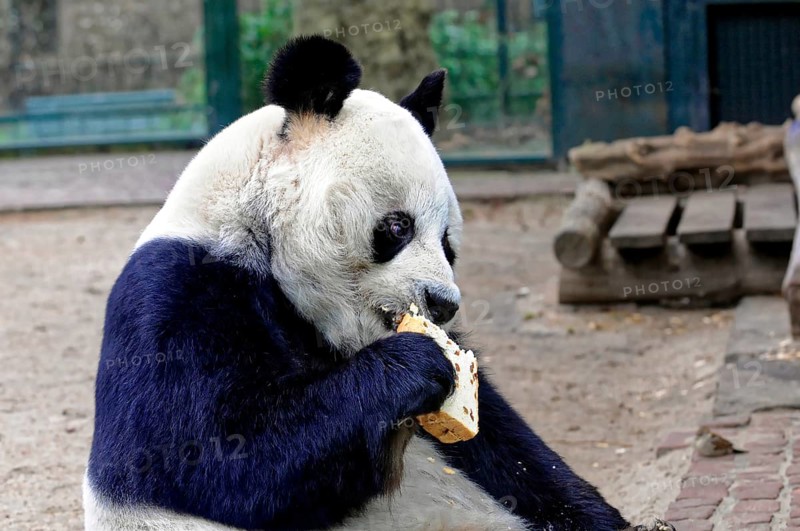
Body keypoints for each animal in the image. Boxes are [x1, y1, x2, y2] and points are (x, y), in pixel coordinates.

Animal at [84, 35, 642, 531]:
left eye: (449, 244)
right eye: (397, 227)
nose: (443, 304)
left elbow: (510, 451)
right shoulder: (179, 294)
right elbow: (215, 455)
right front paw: (413, 363)